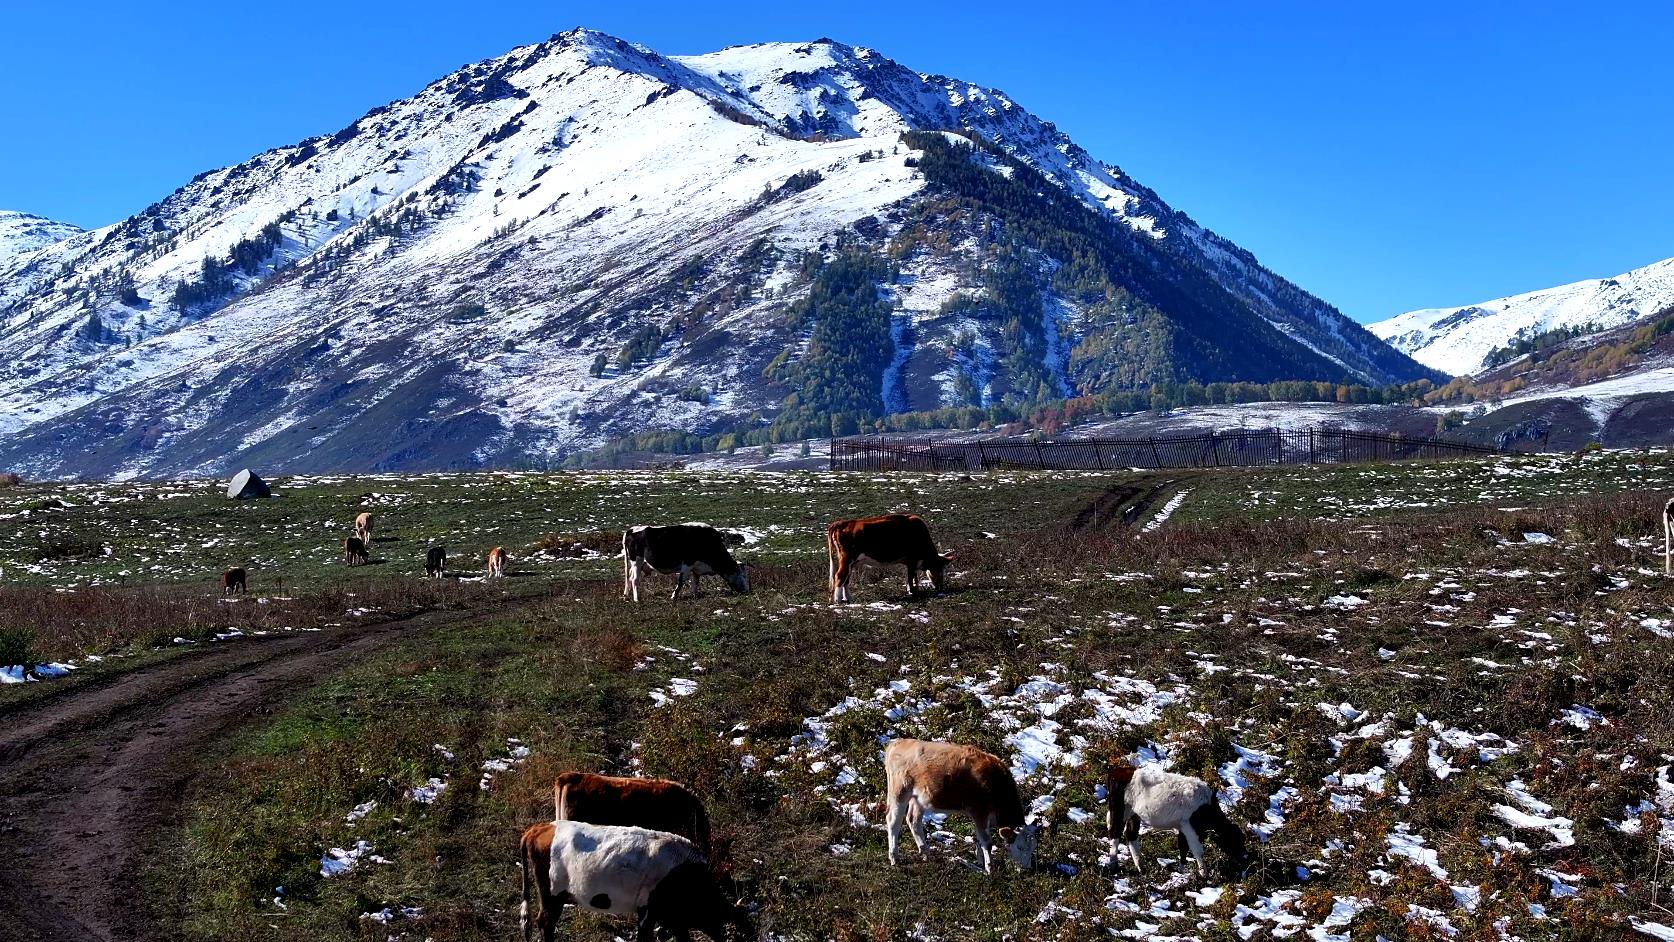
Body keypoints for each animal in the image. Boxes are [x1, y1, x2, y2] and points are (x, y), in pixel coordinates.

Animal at [826, 515, 957, 605]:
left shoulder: (911, 563)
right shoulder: (912, 560)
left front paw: (914, 590)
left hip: (851, 562)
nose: (941, 588)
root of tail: (842, 523)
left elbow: (913, 577)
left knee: (846, 579)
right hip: (847, 559)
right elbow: (911, 577)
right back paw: (837, 600)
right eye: (940, 570)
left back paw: (849, 599)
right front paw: (913, 592)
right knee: (839, 576)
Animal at [877, 736, 1031, 876]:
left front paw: (980, 861)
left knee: (913, 820)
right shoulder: (980, 811)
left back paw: (926, 853)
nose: (1028, 869)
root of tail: (898, 743)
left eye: (1033, 846)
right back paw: (894, 857)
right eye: (1020, 847)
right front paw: (989, 869)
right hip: (899, 791)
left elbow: (978, 838)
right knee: (893, 821)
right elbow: (986, 842)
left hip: (918, 798)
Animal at [1104, 762, 1252, 883]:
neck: (1205, 807)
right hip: (1119, 809)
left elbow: (1183, 847)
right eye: (1234, 840)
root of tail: (1118, 771)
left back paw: (1141, 867)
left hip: (1134, 814)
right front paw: (1204, 874)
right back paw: (1114, 864)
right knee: (1115, 833)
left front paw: (1182, 870)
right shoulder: (1190, 827)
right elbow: (1197, 850)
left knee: (1131, 835)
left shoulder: (1182, 826)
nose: (1245, 857)